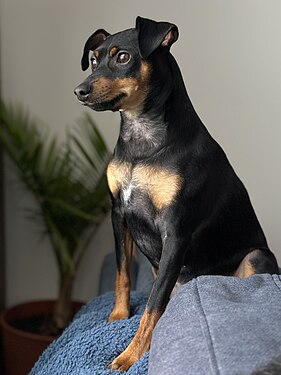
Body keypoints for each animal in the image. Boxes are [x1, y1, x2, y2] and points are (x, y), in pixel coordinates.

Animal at [74, 16, 278, 372]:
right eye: (94, 60)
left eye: (123, 57)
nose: (79, 91)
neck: (142, 139)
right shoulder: (118, 214)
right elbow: (122, 274)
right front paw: (118, 317)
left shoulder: (176, 230)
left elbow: (153, 304)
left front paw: (130, 355)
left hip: (256, 256)